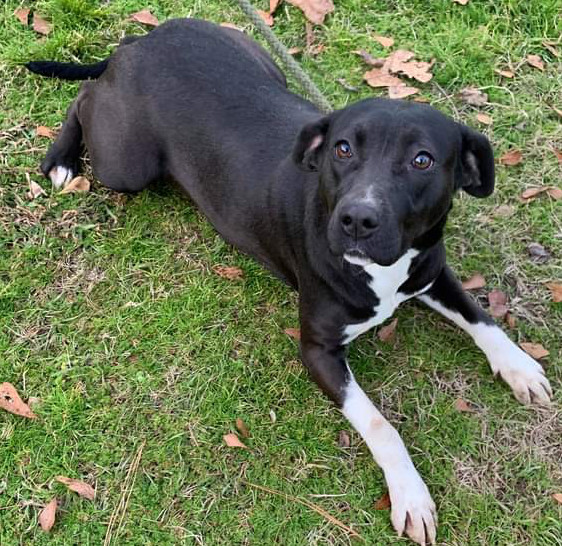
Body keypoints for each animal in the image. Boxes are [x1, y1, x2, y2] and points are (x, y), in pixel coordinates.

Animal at [25, 18, 548, 544]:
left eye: (422, 160)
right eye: (342, 148)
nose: (357, 220)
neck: (383, 271)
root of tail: (141, 41)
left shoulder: (430, 272)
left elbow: (482, 318)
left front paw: (520, 368)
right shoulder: (317, 349)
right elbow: (381, 424)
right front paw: (411, 495)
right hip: (125, 164)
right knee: (84, 97)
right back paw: (62, 159)